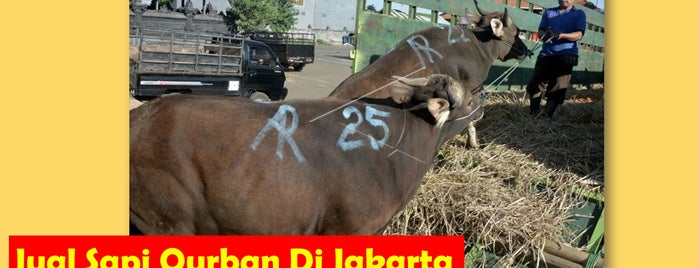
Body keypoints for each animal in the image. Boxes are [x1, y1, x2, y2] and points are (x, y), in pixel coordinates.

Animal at [328, 0, 532, 149]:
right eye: (517, 32)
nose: (526, 51)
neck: (479, 47)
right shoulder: (472, 88)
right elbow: (472, 118)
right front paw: (473, 143)